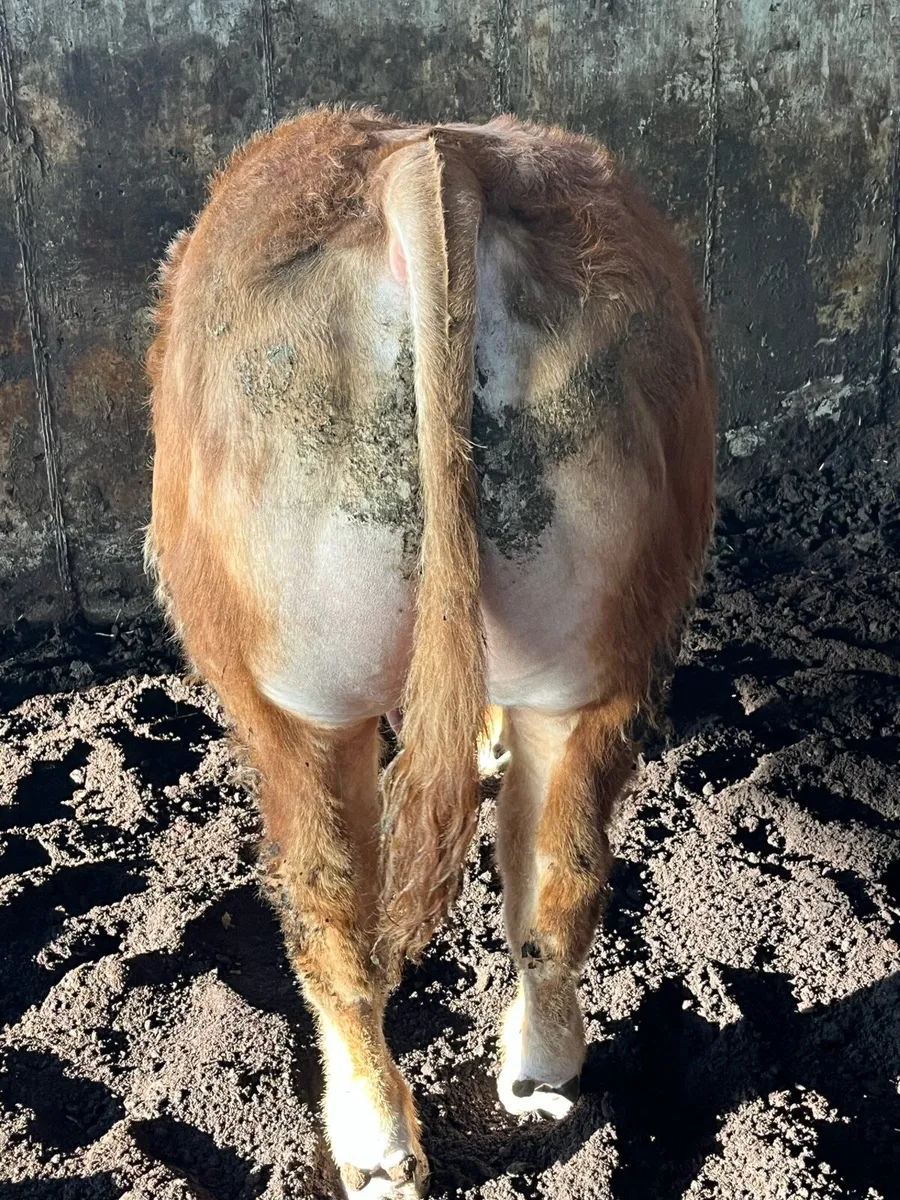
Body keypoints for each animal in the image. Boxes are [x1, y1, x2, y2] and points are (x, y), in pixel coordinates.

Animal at [146, 106, 716, 1198]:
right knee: (559, 875)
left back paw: (372, 1144)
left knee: (332, 909)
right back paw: (539, 1075)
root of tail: (433, 160)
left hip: (296, 690)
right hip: (595, 651)